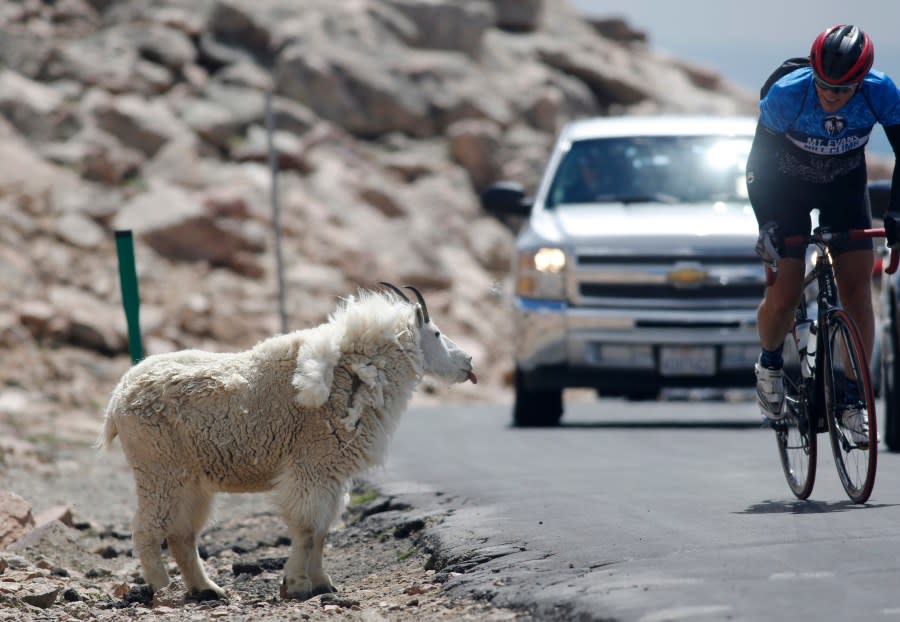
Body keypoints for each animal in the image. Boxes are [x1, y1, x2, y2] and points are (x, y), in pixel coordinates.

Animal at [96, 286, 478, 604]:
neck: (354, 375)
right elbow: (307, 529)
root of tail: (116, 400)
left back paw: (208, 590)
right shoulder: (312, 466)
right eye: (436, 333)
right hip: (159, 470)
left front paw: (323, 583)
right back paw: (164, 589)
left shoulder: (332, 475)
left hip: (190, 480)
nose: (469, 363)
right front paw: (295, 585)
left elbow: (323, 531)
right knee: (147, 530)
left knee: (182, 535)